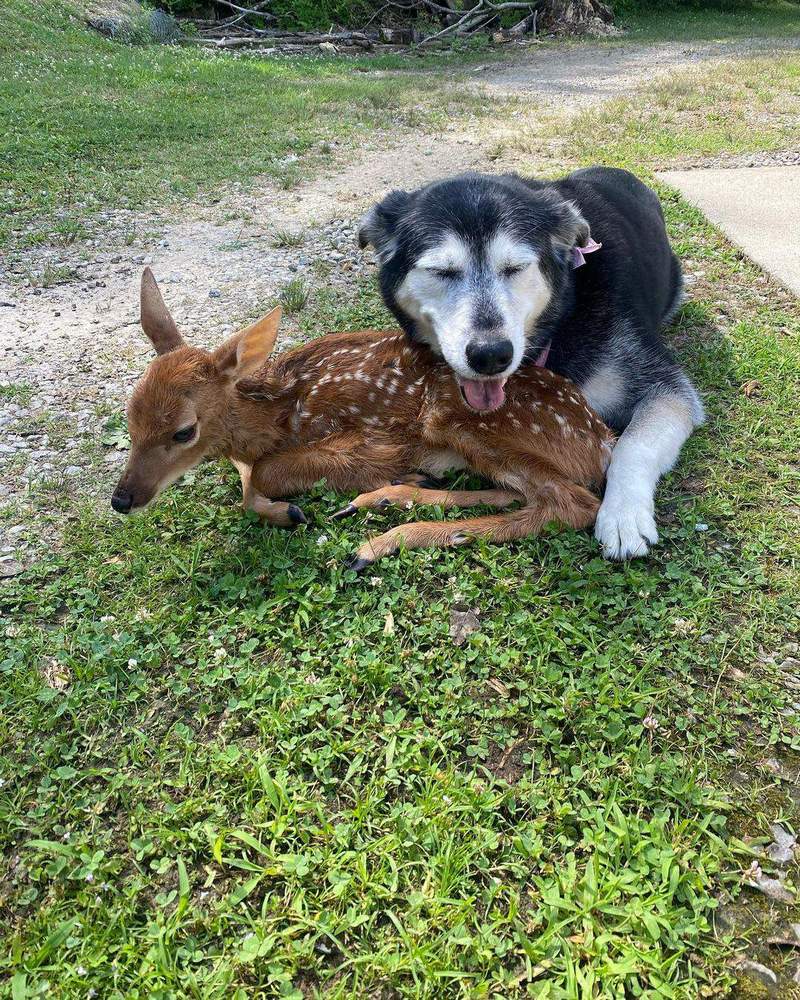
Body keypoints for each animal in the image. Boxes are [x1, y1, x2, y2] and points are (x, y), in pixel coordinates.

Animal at [111, 272, 612, 572]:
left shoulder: (368, 439)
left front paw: (292, 507)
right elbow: (248, 480)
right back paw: (390, 498)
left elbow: (265, 474)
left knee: (572, 504)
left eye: (184, 430)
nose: (122, 499)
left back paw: (382, 540)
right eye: (130, 419)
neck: (275, 416)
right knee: (520, 492)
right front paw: (288, 510)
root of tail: (601, 438)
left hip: (460, 418)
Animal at [360, 167, 704, 560]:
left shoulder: (665, 388)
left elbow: (634, 444)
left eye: (515, 268)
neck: (564, 314)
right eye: (442, 271)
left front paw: (623, 515)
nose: (490, 355)